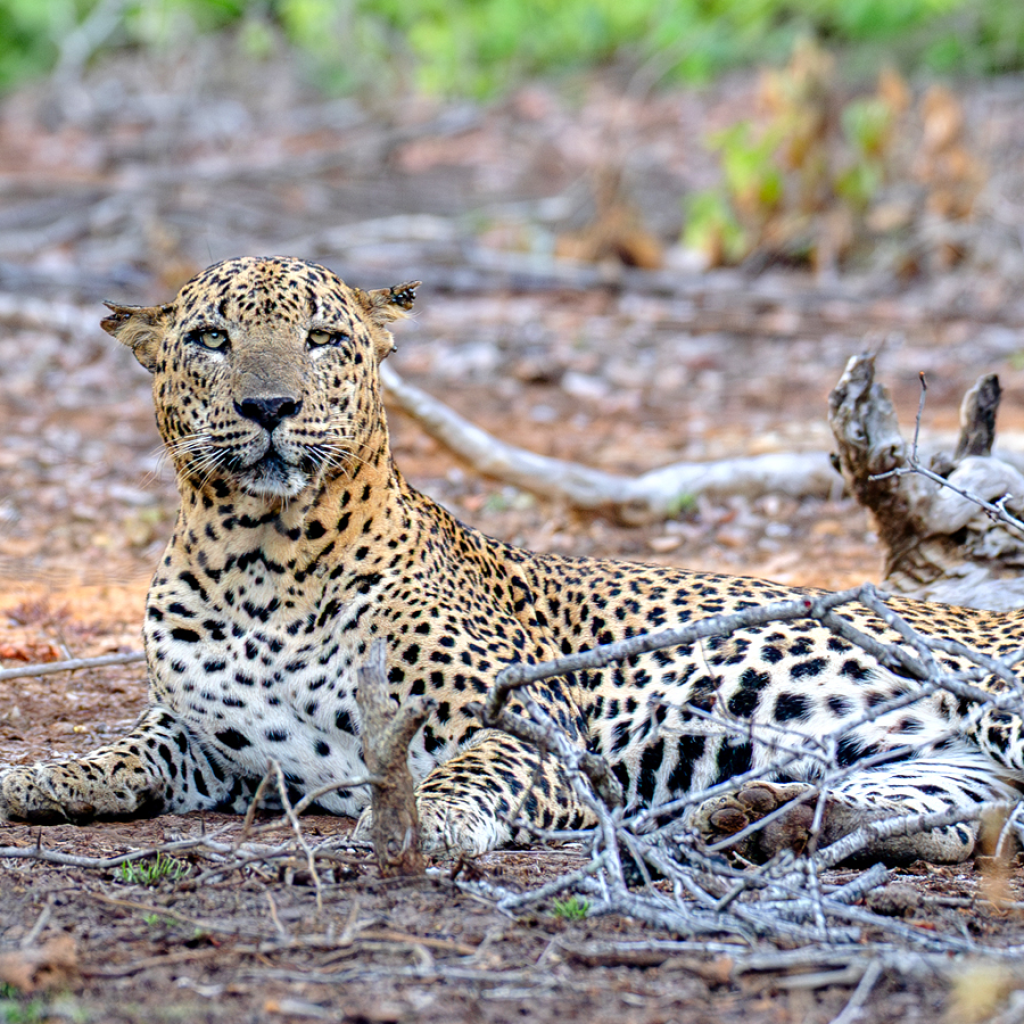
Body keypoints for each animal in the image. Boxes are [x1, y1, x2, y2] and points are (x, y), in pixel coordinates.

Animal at [2, 254, 1024, 866]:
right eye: (211, 339)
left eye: (322, 339)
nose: (268, 408)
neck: (261, 561)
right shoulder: (208, 743)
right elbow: (127, 745)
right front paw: (39, 777)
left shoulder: (525, 722)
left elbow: (467, 772)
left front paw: (422, 821)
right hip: (941, 768)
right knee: (971, 820)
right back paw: (768, 817)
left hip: (994, 699)